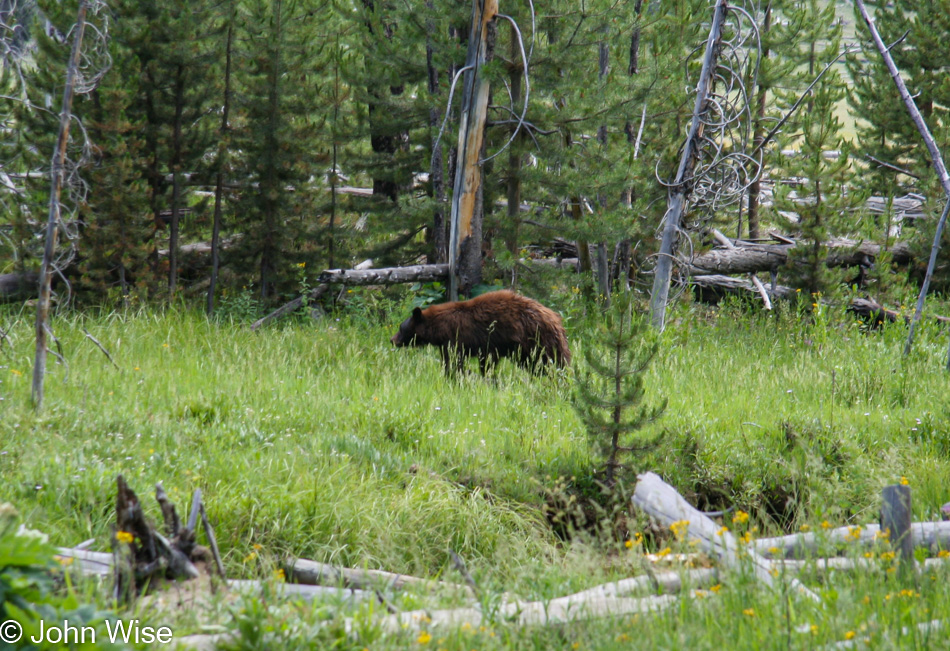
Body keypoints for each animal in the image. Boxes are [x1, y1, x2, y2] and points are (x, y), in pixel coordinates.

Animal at [388, 292, 568, 376]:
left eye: (401, 327)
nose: (391, 339)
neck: (439, 327)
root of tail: (555, 319)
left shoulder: (458, 339)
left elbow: (458, 362)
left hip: (537, 342)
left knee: (551, 362)